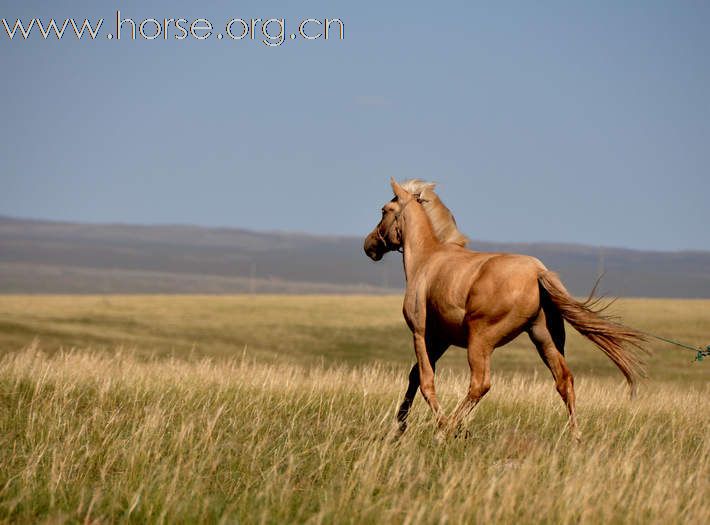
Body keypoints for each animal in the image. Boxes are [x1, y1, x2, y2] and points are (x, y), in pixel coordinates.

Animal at [364, 178, 648, 440]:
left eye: (384, 210)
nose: (368, 245)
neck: (428, 259)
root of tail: (538, 272)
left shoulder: (421, 334)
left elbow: (425, 381)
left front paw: (436, 426)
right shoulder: (441, 339)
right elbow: (414, 377)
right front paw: (398, 428)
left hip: (480, 340)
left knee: (480, 384)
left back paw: (448, 430)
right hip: (544, 339)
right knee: (564, 381)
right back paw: (575, 436)